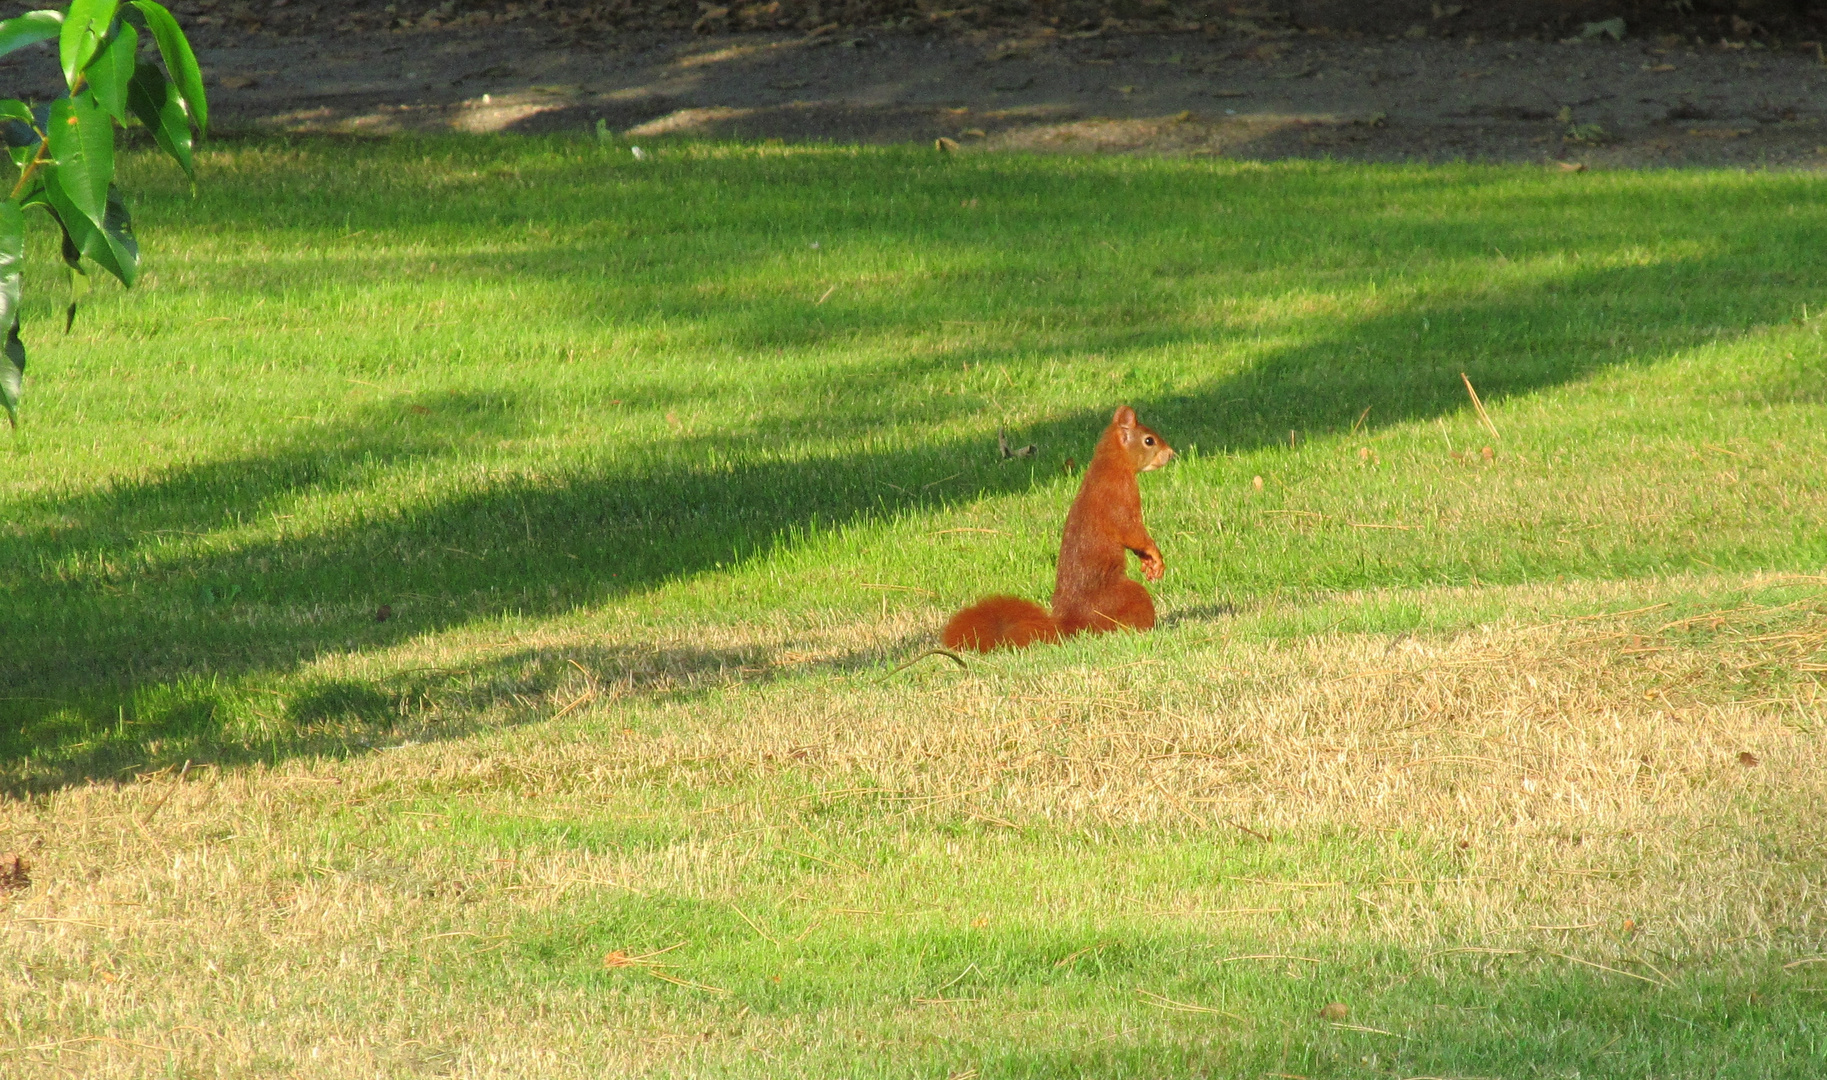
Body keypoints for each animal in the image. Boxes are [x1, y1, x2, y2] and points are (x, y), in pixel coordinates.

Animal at [935, 407, 1176, 650]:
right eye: (1149, 440)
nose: (1171, 453)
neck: (1110, 465)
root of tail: (1072, 623)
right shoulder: (1119, 499)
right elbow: (1132, 532)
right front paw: (1155, 555)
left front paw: (1149, 562)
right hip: (1126, 597)